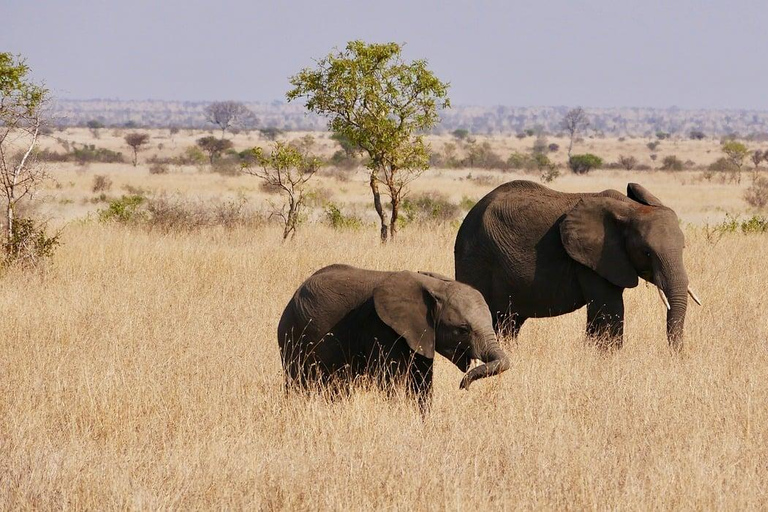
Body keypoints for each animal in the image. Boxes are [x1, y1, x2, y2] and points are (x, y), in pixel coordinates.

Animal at [278, 264, 510, 408]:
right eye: (462, 329)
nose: (463, 385)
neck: (435, 285)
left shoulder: (420, 333)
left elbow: (422, 382)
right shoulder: (380, 328)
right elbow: (392, 380)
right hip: (294, 336)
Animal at [456, 178, 704, 350]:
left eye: (683, 248)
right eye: (647, 252)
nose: (677, 355)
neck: (629, 208)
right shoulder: (591, 258)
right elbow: (609, 307)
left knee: (509, 322)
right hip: (475, 258)